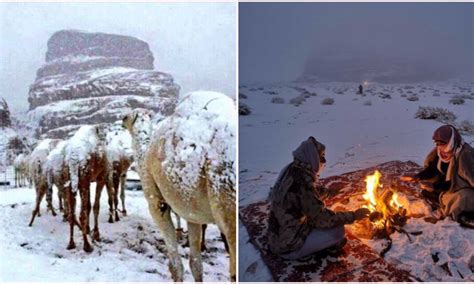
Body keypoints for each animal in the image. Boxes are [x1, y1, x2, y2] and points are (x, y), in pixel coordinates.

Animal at [123, 91, 236, 282]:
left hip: (225, 193)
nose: (121, 120)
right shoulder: (192, 211)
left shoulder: (156, 202)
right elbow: (196, 263)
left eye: (127, 117)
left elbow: (175, 265)